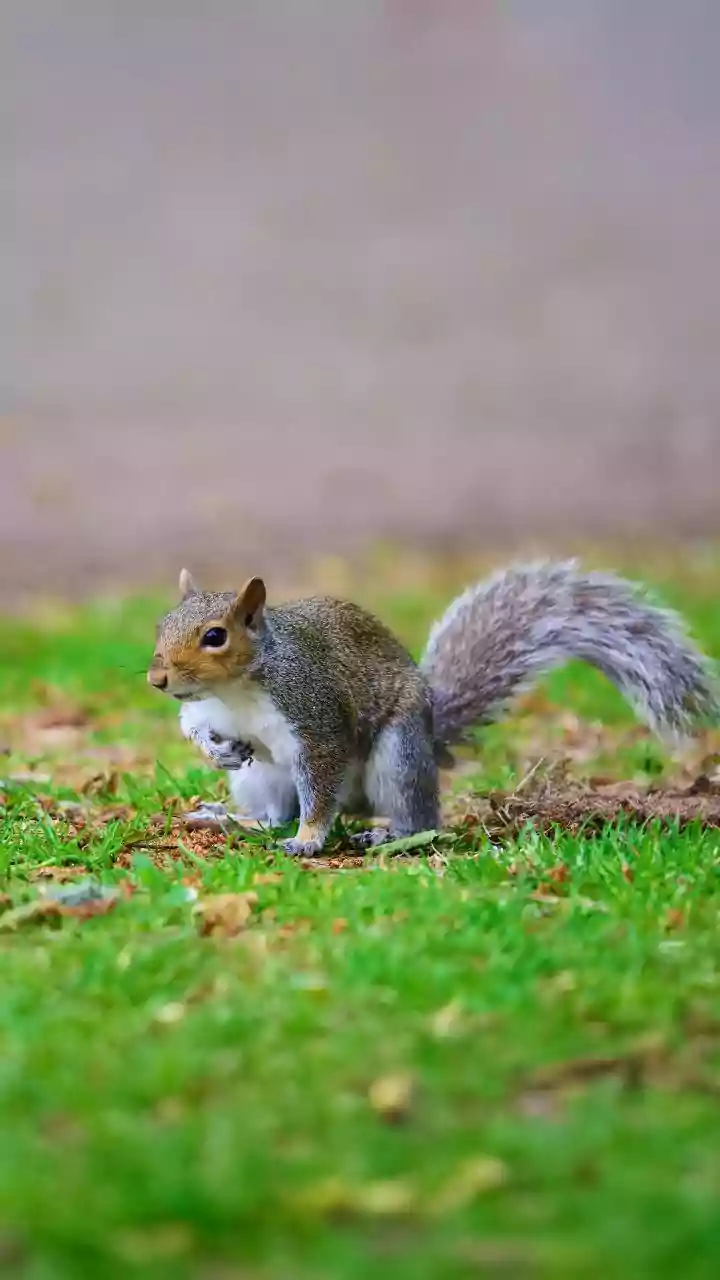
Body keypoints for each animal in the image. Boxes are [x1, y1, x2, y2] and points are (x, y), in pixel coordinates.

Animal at [147, 562, 717, 857]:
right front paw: (215, 748)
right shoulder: (207, 711)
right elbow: (192, 725)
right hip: (260, 778)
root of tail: (431, 734)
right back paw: (229, 820)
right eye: (161, 624)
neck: (235, 691)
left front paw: (309, 842)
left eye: (215, 637)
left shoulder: (314, 715)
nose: (157, 679)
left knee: (419, 818)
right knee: (275, 813)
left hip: (397, 755)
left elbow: (320, 791)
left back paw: (385, 833)